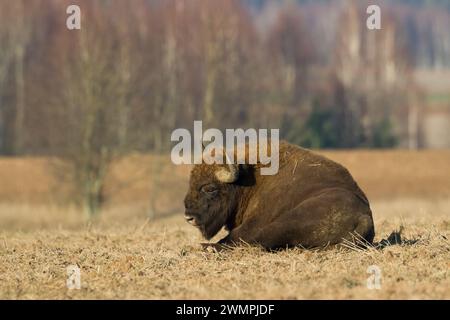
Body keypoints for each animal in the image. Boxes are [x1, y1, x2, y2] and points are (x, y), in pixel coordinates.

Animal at [181, 141, 374, 250]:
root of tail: (365, 217)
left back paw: (205, 248)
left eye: (209, 188)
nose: (189, 217)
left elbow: (237, 236)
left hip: (288, 221)